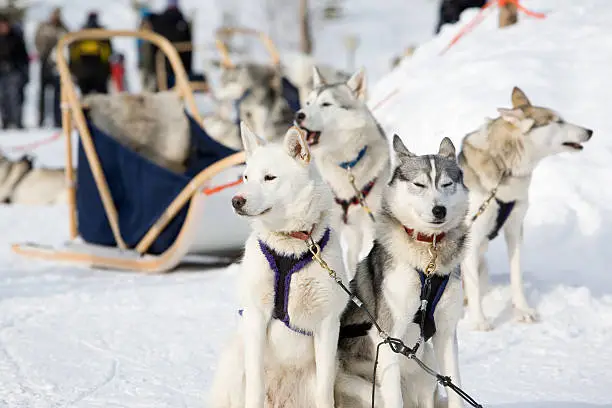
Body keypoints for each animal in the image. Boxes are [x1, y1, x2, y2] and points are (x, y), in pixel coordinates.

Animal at [340, 136, 468, 408]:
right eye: (419, 184)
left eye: (446, 184)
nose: (439, 210)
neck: (428, 262)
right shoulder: (388, 340)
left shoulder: (445, 332)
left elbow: (455, 390)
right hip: (363, 387)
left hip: (426, 368)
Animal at [462, 87, 596, 330]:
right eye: (558, 121)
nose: (589, 131)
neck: (504, 169)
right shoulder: (471, 236)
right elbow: (473, 287)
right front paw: (479, 321)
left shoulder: (515, 229)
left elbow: (516, 275)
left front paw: (523, 311)